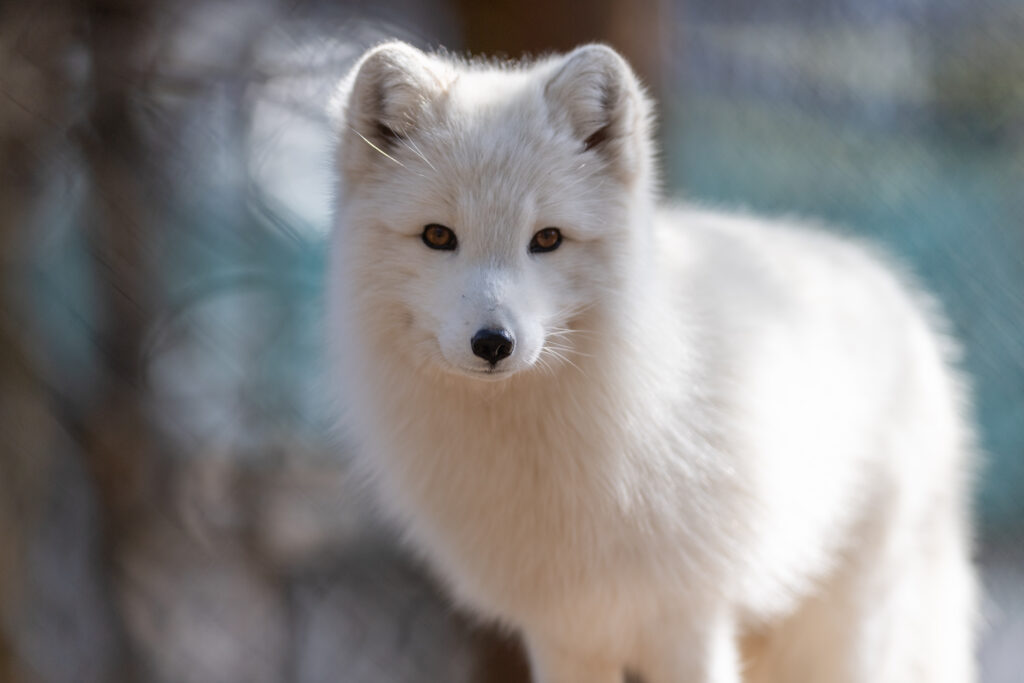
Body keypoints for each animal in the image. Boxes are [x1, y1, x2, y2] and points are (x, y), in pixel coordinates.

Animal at [326, 41, 977, 683]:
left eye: (547, 239)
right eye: (438, 236)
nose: (493, 343)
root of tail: (886, 278)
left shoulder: (688, 619)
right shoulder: (562, 632)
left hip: (841, 633)